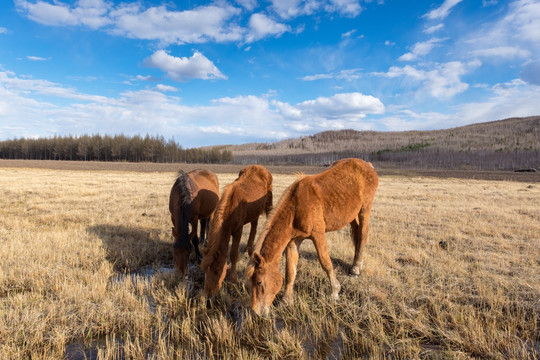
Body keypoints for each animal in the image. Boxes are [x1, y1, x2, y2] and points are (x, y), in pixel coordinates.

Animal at [200, 165, 272, 296]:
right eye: (205, 271)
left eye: (217, 271)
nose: (209, 294)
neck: (231, 207)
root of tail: (260, 167)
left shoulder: (238, 231)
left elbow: (233, 255)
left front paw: (232, 284)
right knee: (254, 226)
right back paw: (249, 250)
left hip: (269, 203)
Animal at [247, 158, 378, 316]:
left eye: (259, 282)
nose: (255, 312)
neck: (296, 208)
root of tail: (368, 165)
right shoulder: (293, 241)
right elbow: (290, 271)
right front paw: (286, 301)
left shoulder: (318, 235)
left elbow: (325, 263)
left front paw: (335, 292)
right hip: (352, 214)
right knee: (358, 235)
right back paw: (357, 263)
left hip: (364, 209)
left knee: (363, 234)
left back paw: (356, 268)